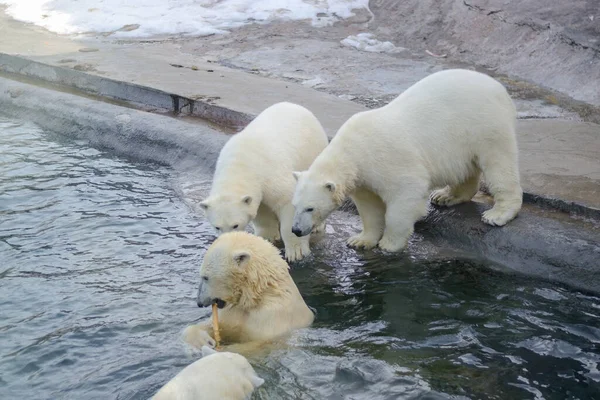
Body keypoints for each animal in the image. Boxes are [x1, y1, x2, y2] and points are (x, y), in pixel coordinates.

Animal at [183, 231, 314, 350]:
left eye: (205, 277)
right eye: (202, 276)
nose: (199, 302)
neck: (258, 295)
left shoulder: (272, 316)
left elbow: (257, 344)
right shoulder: (233, 312)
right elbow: (215, 324)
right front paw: (203, 340)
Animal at [200, 101, 328, 260]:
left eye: (235, 225)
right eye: (217, 227)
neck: (241, 161)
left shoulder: (270, 172)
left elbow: (288, 201)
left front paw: (295, 251)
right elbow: (261, 208)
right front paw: (267, 237)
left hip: (313, 151)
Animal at [290, 67, 520, 252]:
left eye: (310, 208)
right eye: (294, 205)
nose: (296, 230)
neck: (353, 149)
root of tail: (498, 87)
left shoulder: (387, 160)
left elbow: (405, 195)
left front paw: (389, 244)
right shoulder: (362, 180)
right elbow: (369, 208)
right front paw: (360, 240)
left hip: (485, 124)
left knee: (499, 165)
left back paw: (498, 214)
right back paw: (445, 196)